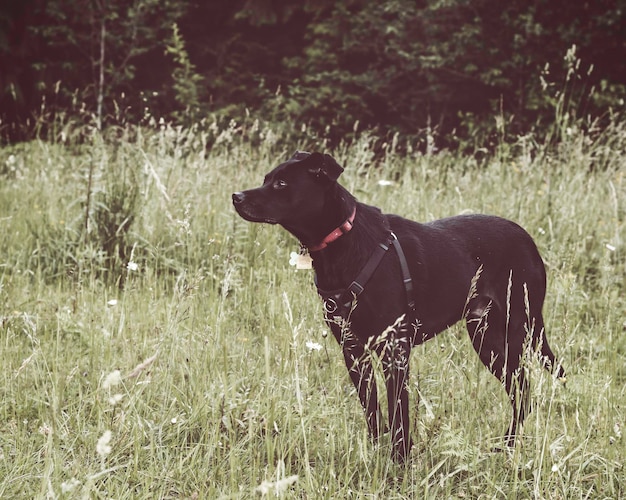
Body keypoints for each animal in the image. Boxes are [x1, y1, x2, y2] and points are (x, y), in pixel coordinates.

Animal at [232, 150, 564, 462]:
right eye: (266, 178)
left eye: (281, 183)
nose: (236, 197)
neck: (344, 244)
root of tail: (528, 240)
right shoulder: (353, 351)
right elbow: (372, 411)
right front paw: (376, 454)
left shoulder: (395, 351)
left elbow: (398, 413)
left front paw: (400, 461)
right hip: (487, 339)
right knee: (521, 392)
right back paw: (505, 445)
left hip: (520, 329)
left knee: (526, 388)